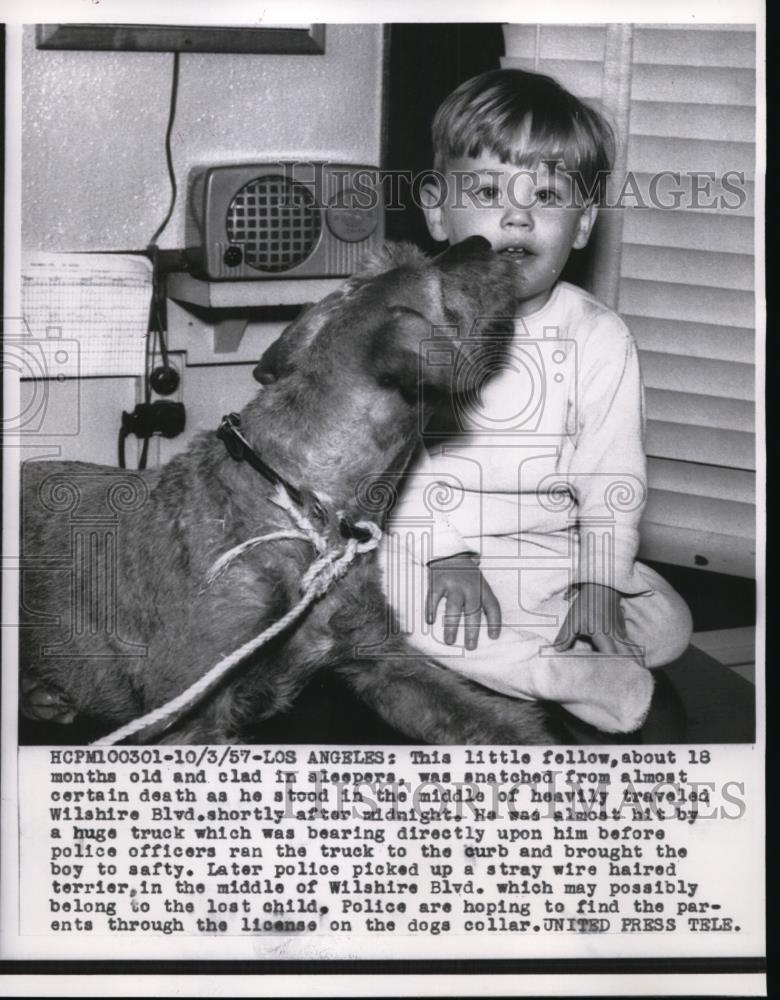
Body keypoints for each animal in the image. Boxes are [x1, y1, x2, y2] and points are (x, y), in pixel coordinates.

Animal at [19, 236, 560, 744]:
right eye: (438, 280)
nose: (483, 242)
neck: (301, 507)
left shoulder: (385, 663)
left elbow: (492, 721)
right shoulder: (187, 717)